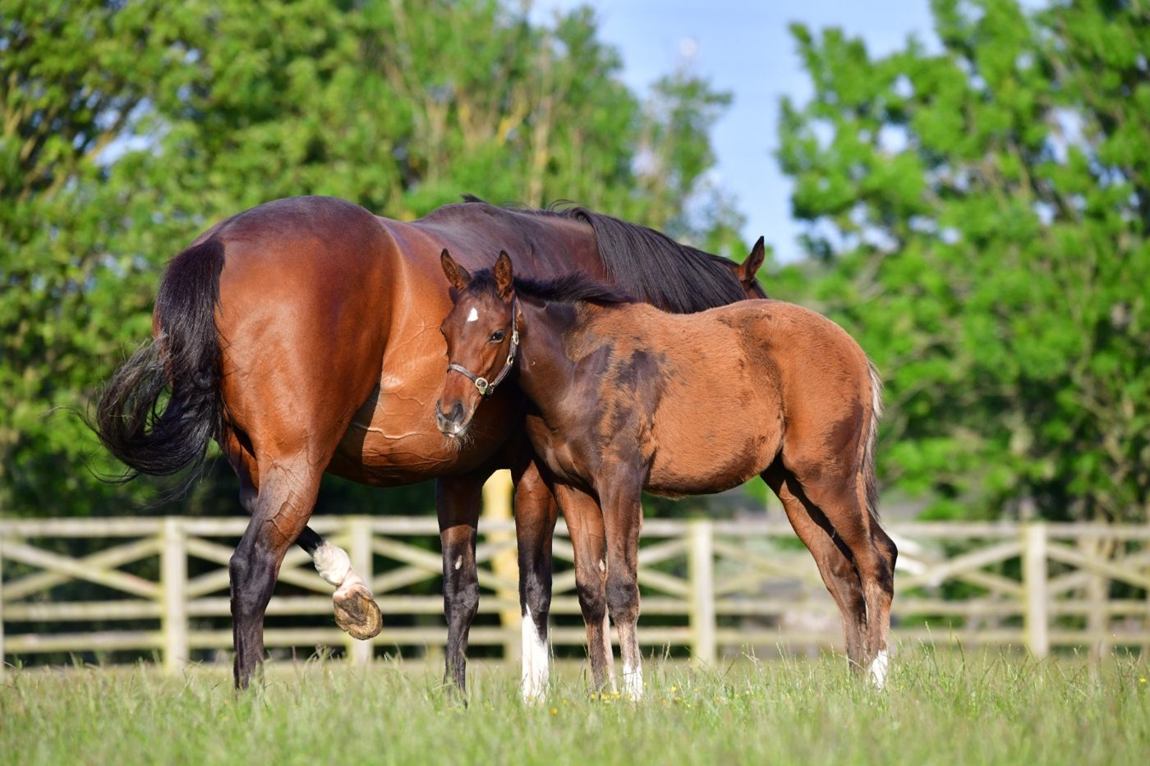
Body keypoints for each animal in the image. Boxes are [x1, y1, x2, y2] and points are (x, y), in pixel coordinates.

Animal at [94, 194, 768, 695]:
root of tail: (216, 246)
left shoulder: (459, 474)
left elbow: (461, 591)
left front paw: (457, 695)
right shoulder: (534, 474)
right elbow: (539, 586)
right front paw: (537, 693)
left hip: (253, 457)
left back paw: (350, 590)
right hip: (299, 464)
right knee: (252, 568)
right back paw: (251, 693)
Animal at [434, 250, 898, 698]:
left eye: (497, 333)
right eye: (445, 330)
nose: (448, 413)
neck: (579, 370)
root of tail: (854, 351)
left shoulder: (620, 482)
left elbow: (622, 588)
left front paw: (634, 695)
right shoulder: (573, 489)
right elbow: (590, 591)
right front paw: (602, 696)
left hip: (830, 477)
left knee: (876, 558)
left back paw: (877, 682)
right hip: (792, 487)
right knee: (840, 573)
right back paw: (856, 682)